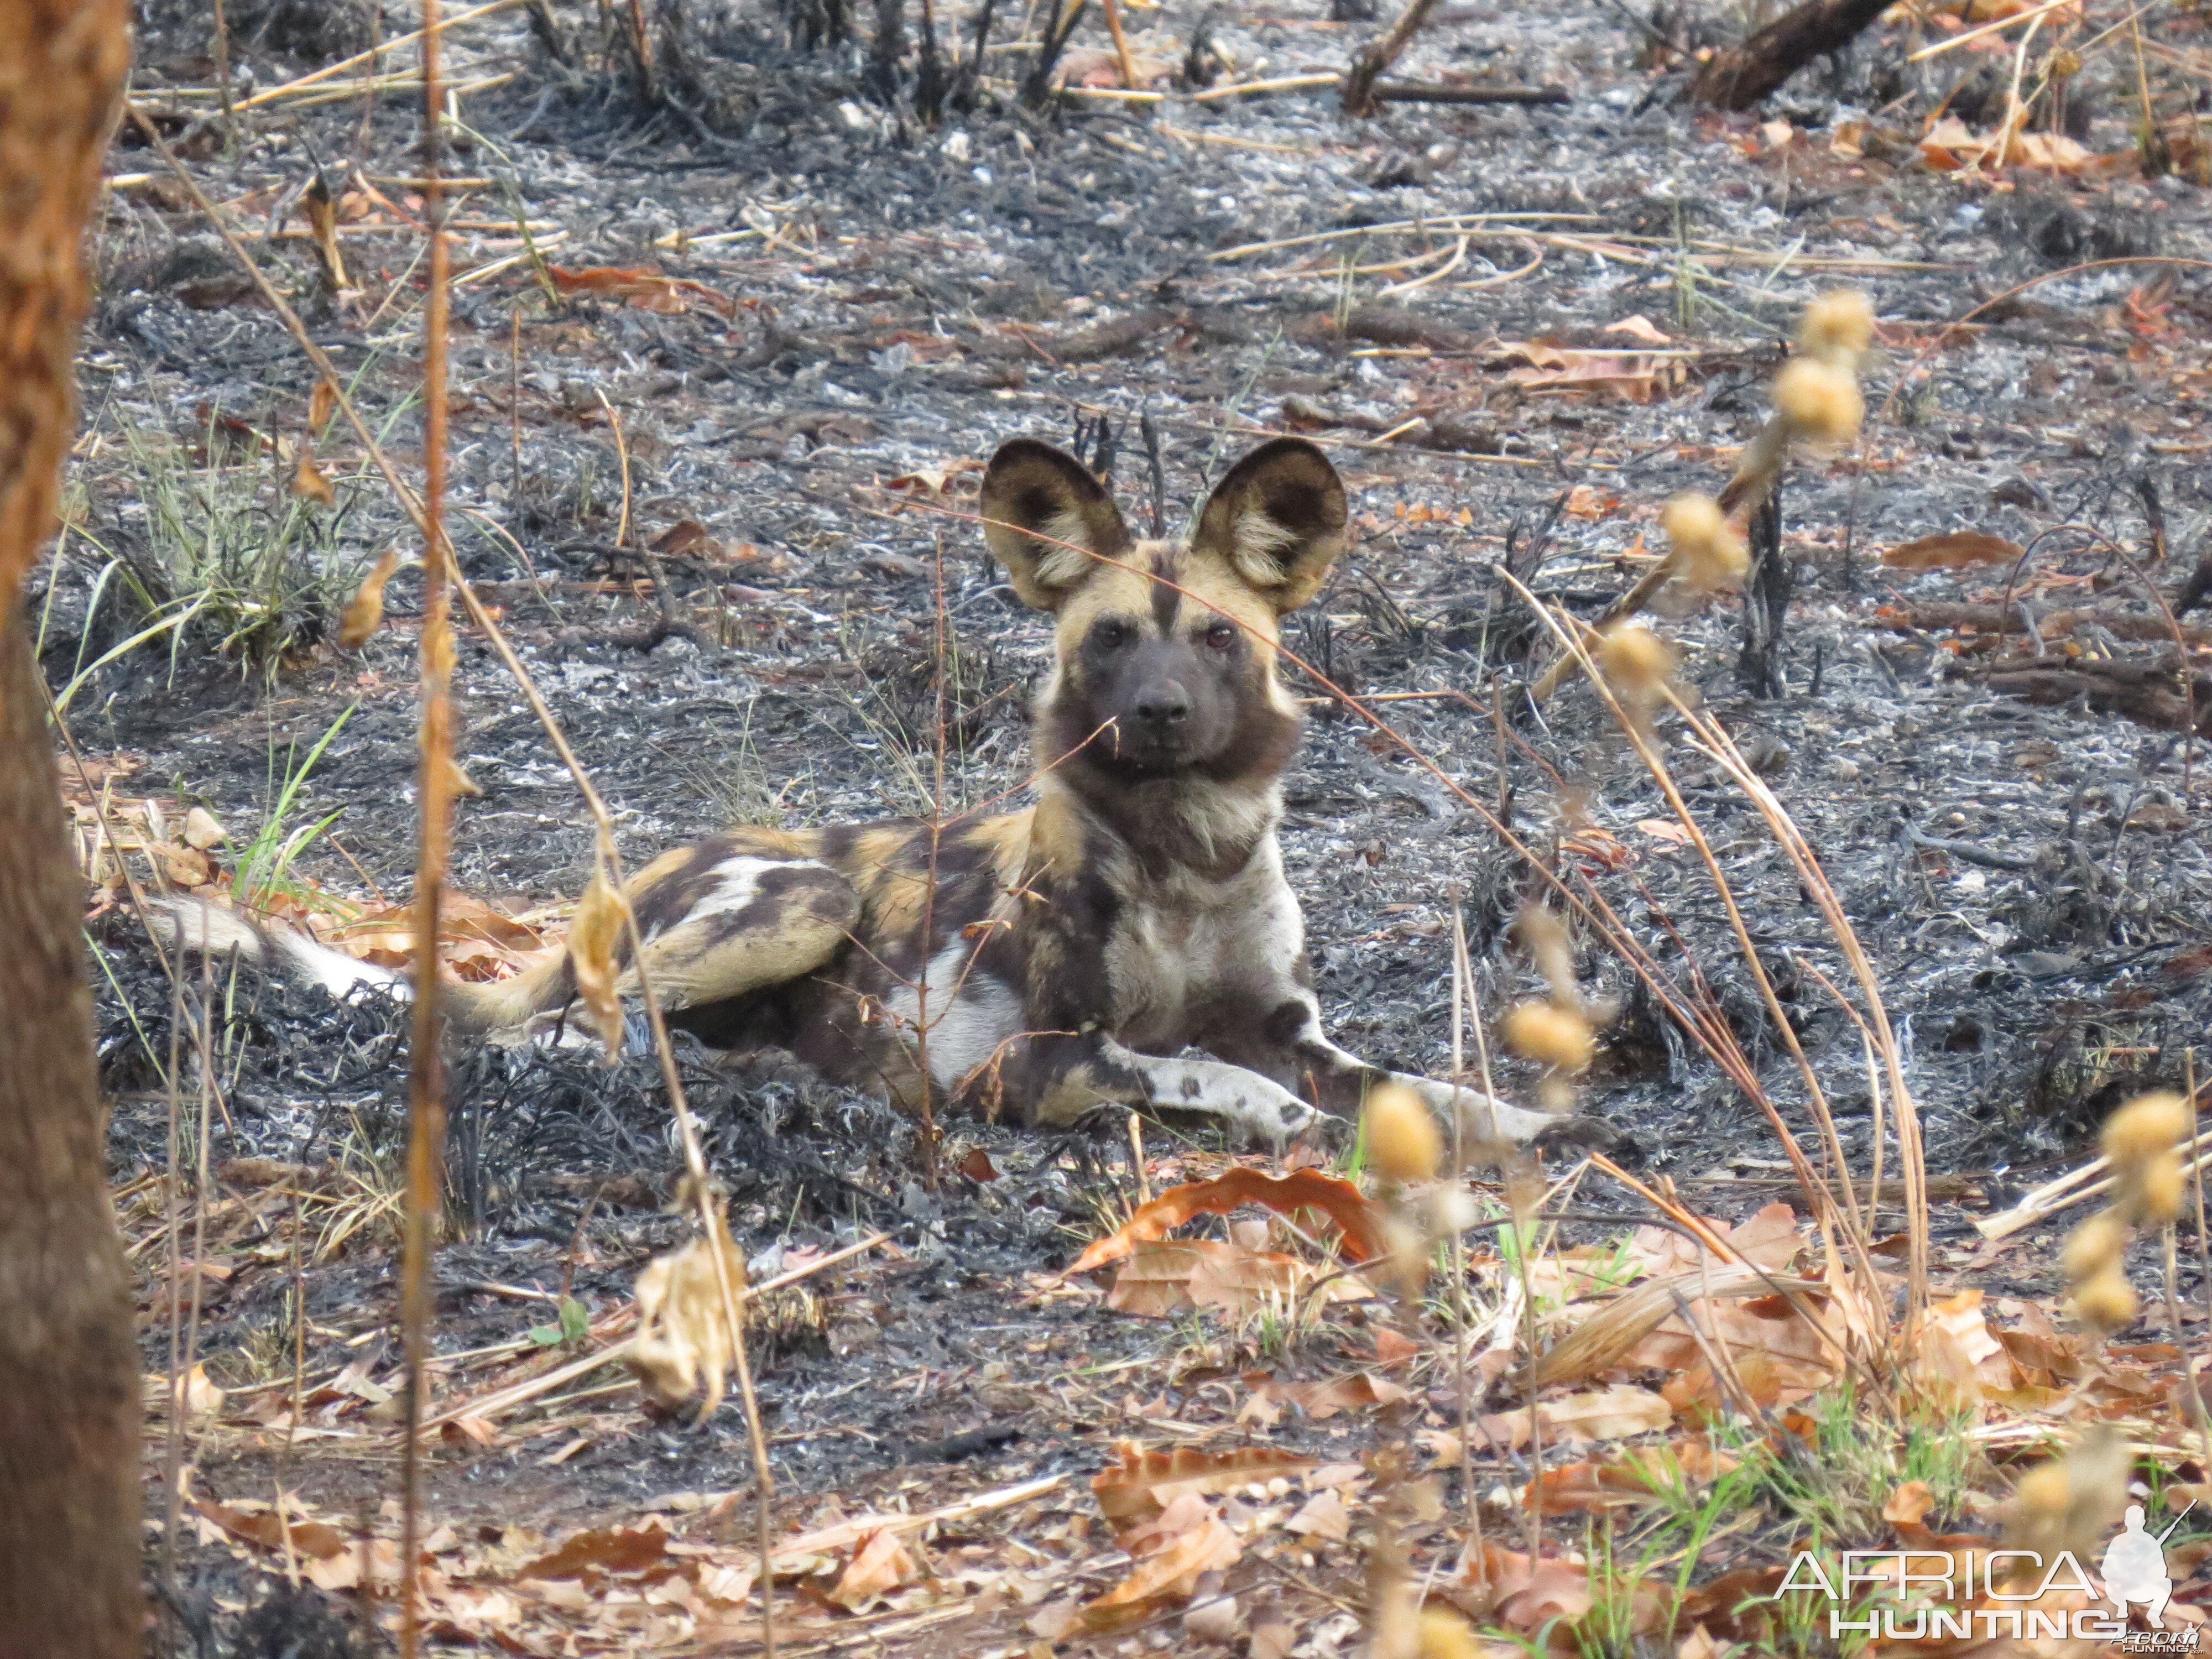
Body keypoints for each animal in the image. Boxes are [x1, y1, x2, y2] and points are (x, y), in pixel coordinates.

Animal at [173, 436, 1575, 1150]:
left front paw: (1518, 1122)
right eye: (1112, 638)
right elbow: (1207, 1078)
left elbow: (1411, 1086)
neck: (1190, 857)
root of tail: (634, 871)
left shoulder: (1294, 1028)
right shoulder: (1031, 1063)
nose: (1156, 712)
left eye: (1219, 640)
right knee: (565, 1036)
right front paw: (1271, 1114)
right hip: (793, 903)